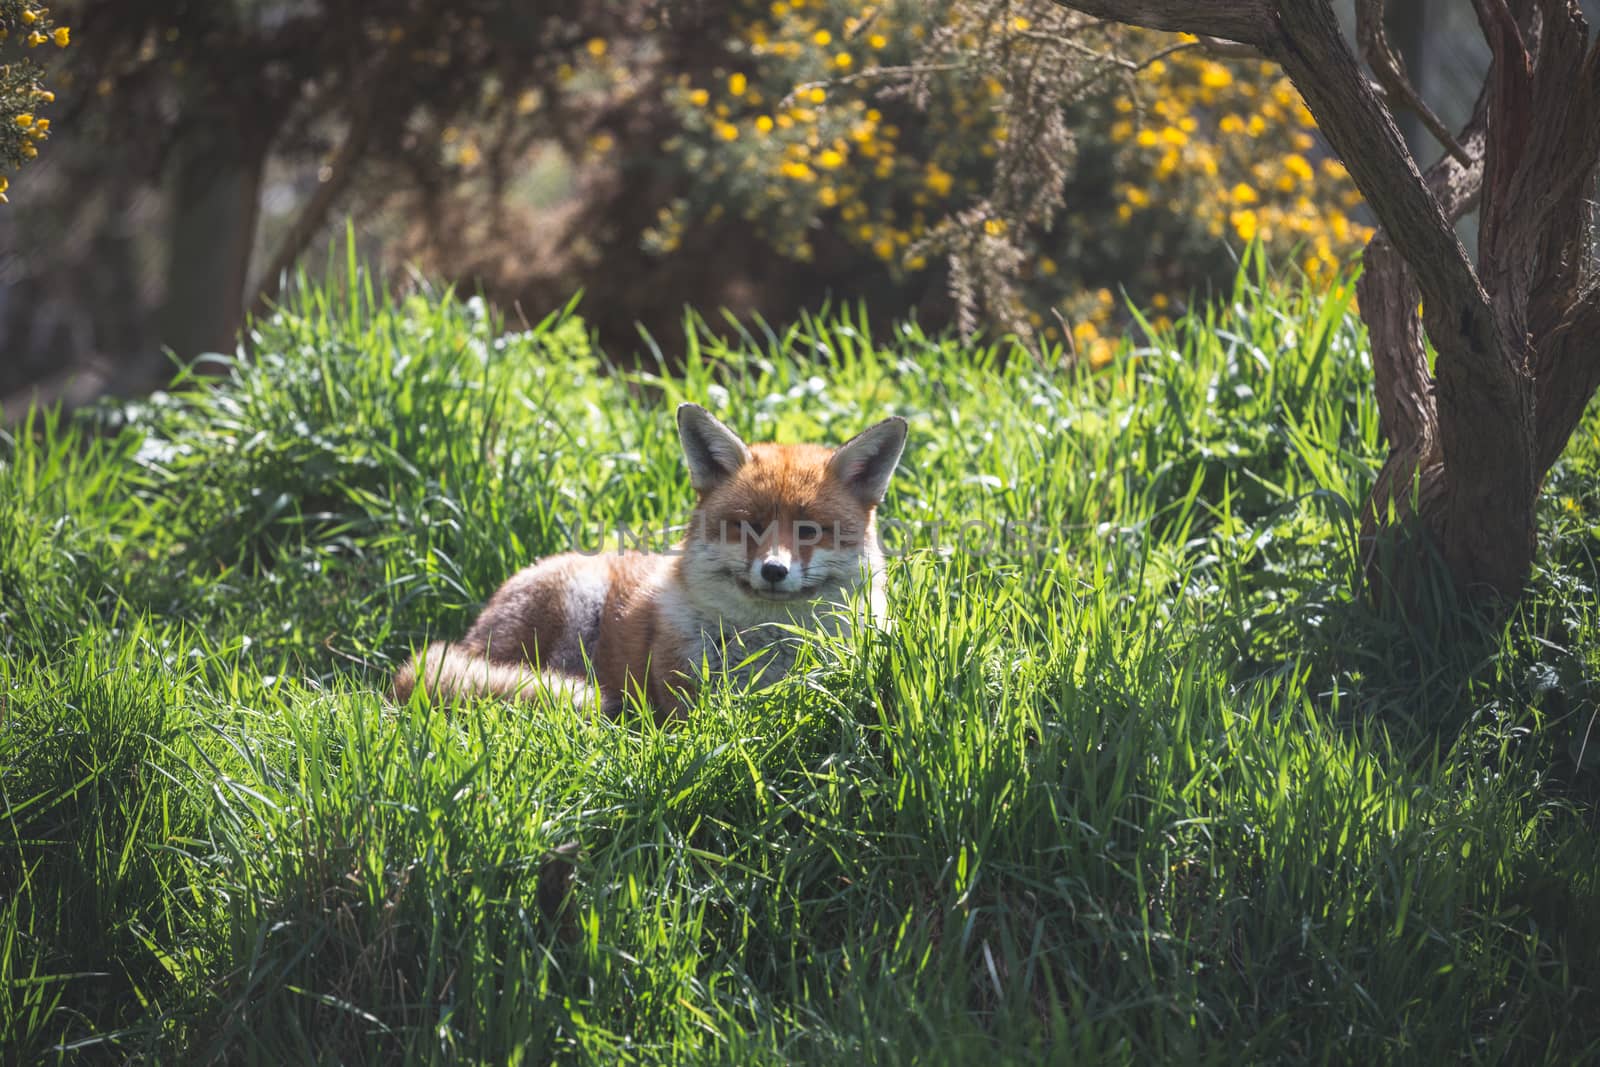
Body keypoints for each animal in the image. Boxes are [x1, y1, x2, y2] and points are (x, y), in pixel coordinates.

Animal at [392, 403, 908, 716]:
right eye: (748, 526)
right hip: (573, 607)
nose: (774, 570)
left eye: (809, 530)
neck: (771, 649)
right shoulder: (682, 697)